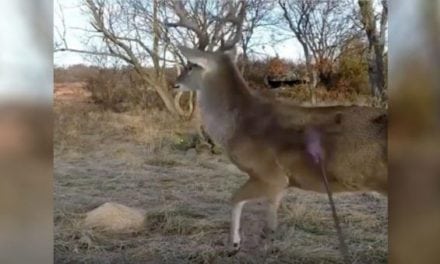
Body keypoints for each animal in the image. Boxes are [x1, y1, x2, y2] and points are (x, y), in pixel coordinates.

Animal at [174, 44, 386, 252]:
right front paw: (268, 241)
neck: (238, 126)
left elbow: (234, 198)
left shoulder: (270, 174)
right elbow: (270, 211)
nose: (175, 83)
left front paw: (234, 244)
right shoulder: (280, 184)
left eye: (191, 66)